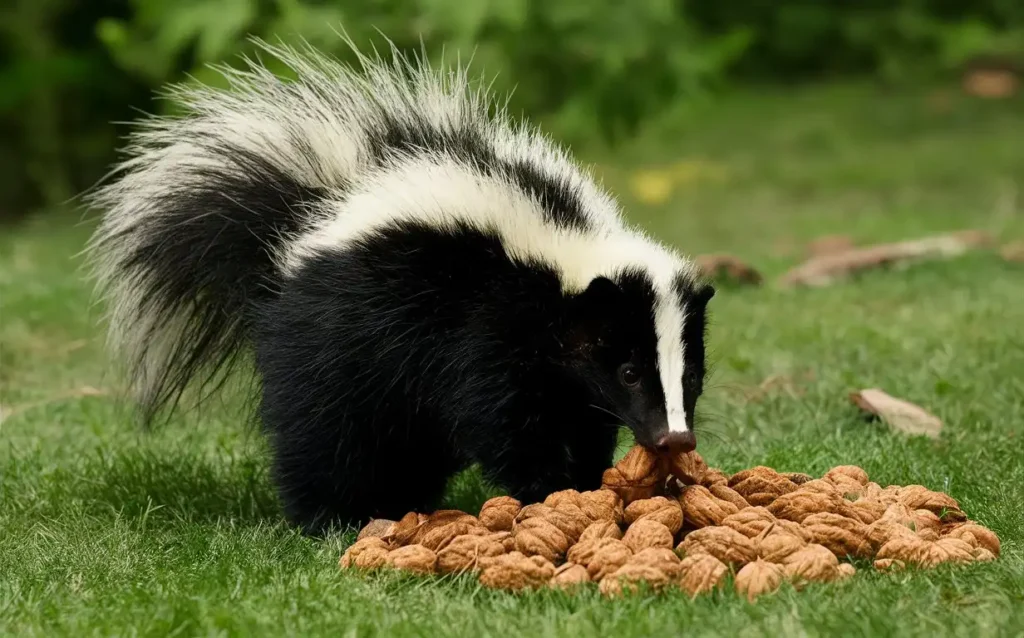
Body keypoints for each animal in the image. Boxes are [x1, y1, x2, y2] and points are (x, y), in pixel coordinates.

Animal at [86, 36, 712, 532]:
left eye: (692, 375)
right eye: (628, 371)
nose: (675, 439)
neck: (560, 262)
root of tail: (304, 217)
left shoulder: (560, 373)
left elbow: (581, 420)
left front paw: (588, 482)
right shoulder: (488, 330)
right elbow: (506, 423)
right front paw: (550, 490)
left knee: (405, 446)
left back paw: (404, 506)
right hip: (335, 350)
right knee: (324, 438)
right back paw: (331, 519)